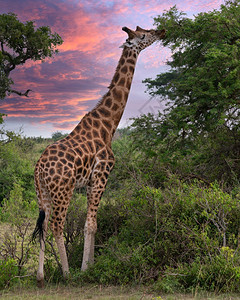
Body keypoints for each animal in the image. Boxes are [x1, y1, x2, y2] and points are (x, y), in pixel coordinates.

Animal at [32, 25, 166, 286]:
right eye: (144, 35)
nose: (162, 31)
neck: (108, 125)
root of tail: (39, 168)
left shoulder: (90, 181)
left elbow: (91, 223)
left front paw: (91, 265)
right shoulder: (102, 174)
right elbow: (92, 224)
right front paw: (86, 269)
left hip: (42, 192)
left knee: (43, 225)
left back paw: (41, 276)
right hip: (63, 190)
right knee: (56, 225)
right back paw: (67, 274)